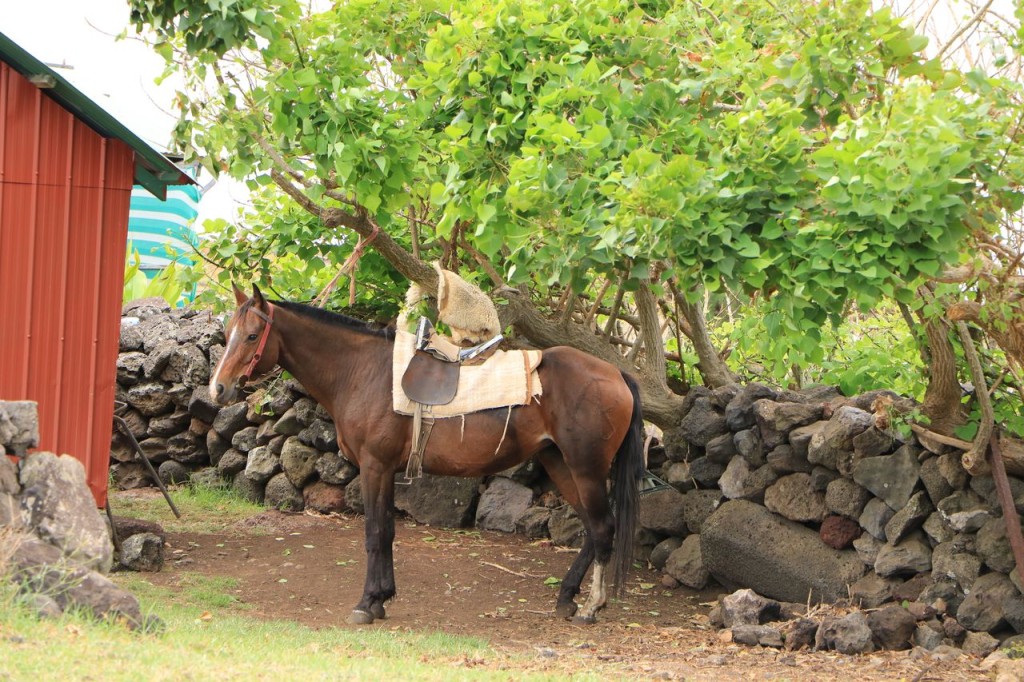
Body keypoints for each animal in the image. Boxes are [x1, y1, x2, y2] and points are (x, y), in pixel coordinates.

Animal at [210, 284, 644, 625]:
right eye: (228, 333)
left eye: (252, 336)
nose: (218, 388)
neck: (362, 372)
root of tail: (617, 374)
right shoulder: (384, 470)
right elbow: (387, 531)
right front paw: (382, 598)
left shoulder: (375, 466)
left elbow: (375, 533)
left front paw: (367, 603)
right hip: (560, 463)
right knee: (591, 528)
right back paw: (567, 597)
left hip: (586, 468)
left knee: (602, 527)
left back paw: (591, 606)